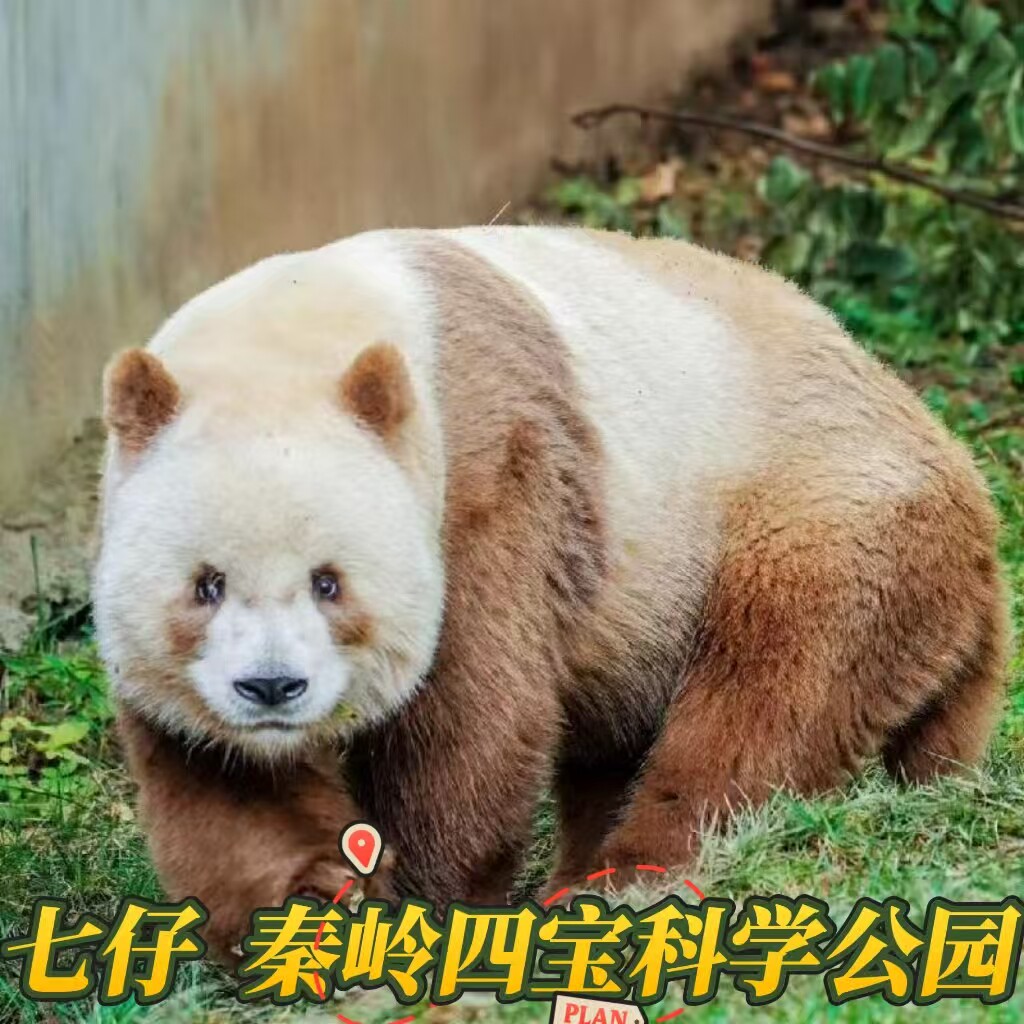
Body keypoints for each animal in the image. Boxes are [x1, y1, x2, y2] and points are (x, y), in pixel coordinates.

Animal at [93, 227, 1009, 962]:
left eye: (329, 582)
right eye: (206, 585)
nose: (273, 687)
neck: (305, 336)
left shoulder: (489, 473)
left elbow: (472, 714)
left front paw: (432, 901)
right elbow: (227, 779)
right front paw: (308, 908)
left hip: (810, 510)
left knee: (768, 696)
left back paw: (622, 879)